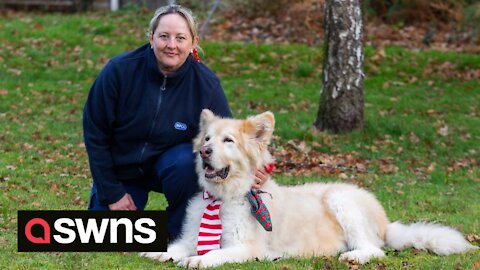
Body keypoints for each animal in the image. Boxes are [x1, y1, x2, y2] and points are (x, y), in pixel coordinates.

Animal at [141, 109, 478, 268]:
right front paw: (160, 252)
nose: (204, 152)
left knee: (374, 249)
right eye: (208, 139)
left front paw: (198, 259)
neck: (225, 197)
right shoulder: (190, 236)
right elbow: (177, 246)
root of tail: (385, 223)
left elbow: (215, 254)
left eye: (228, 141)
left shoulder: (249, 249)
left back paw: (353, 256)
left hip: (341, 199)